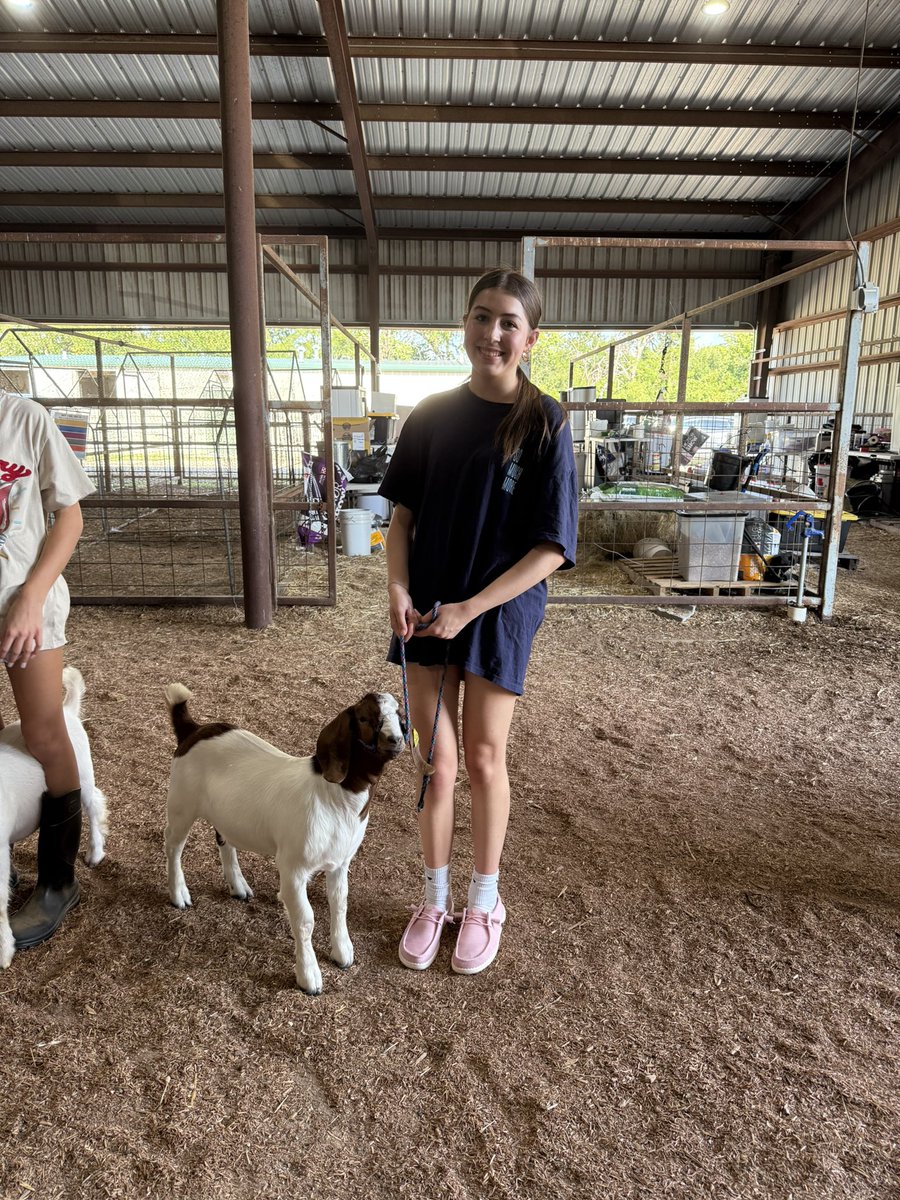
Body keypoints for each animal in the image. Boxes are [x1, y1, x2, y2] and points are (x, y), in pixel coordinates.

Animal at [163, 684, 405, 994]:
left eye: (399, 715)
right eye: (364, 718)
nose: (395, 740)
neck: (333, 798)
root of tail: (192, 729)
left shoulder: (340, 862)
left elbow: (340, 903)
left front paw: (343, 952)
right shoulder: (293, 868)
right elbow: (305, 919)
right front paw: (309, 976)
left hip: (225, 812)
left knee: (223, 838)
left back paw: (238, 885)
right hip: (181, 803)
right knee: (173, 845)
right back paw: (179, 894)